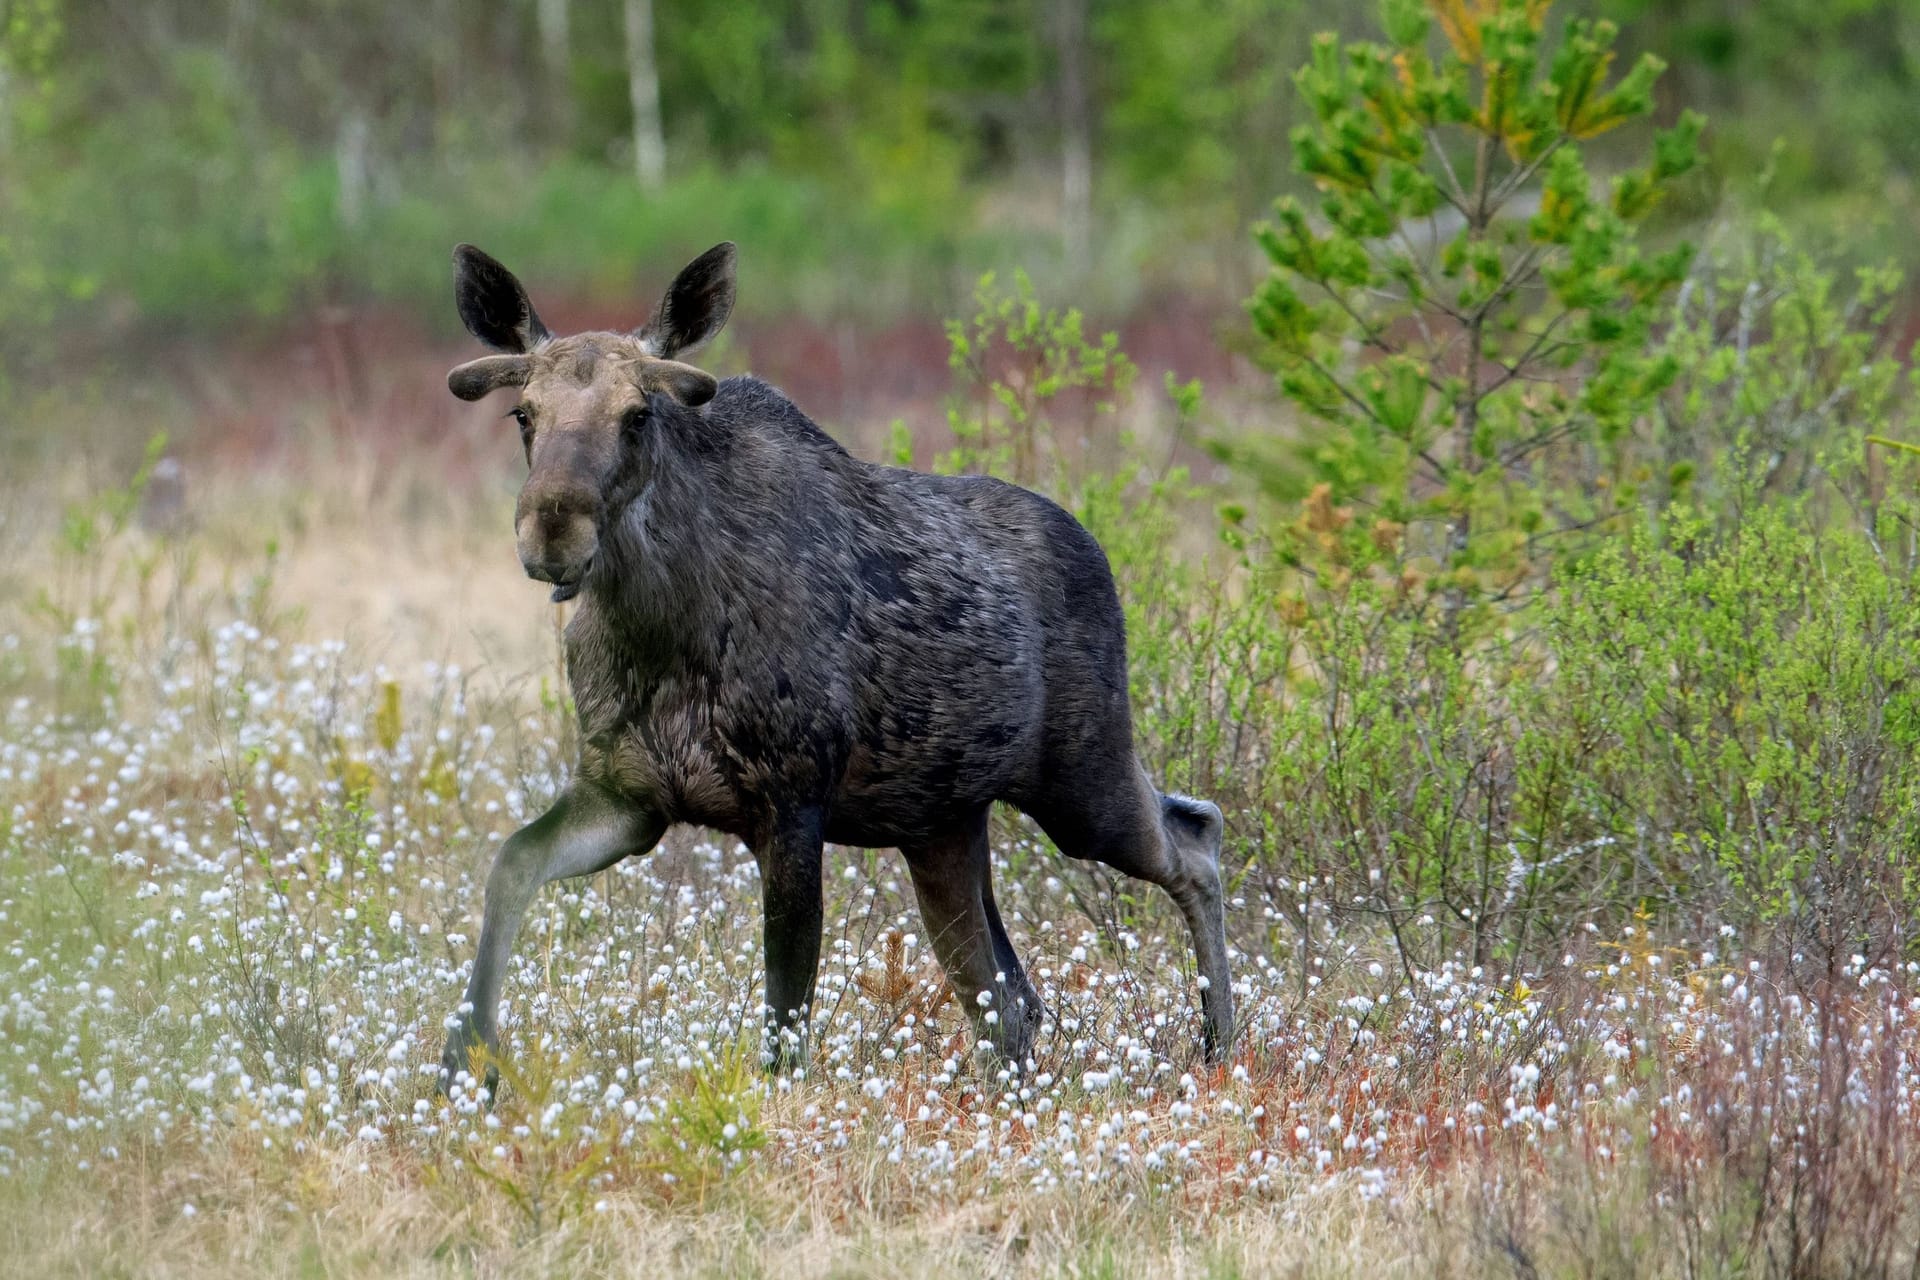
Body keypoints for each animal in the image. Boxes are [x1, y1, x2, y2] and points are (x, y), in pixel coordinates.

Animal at [439, 242, 1228, 1090]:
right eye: (524, 414)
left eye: (638, 414)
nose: (552, 530)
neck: (654, 627)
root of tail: (1097, 551)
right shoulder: (627, 796)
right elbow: (511, 863)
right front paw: (465, 1063)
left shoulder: (792, 802)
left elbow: (786, 1025)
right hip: (945, 826)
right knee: (1009, 997)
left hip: (1081, 779)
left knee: (1195, 838)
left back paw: (1221, 1043)